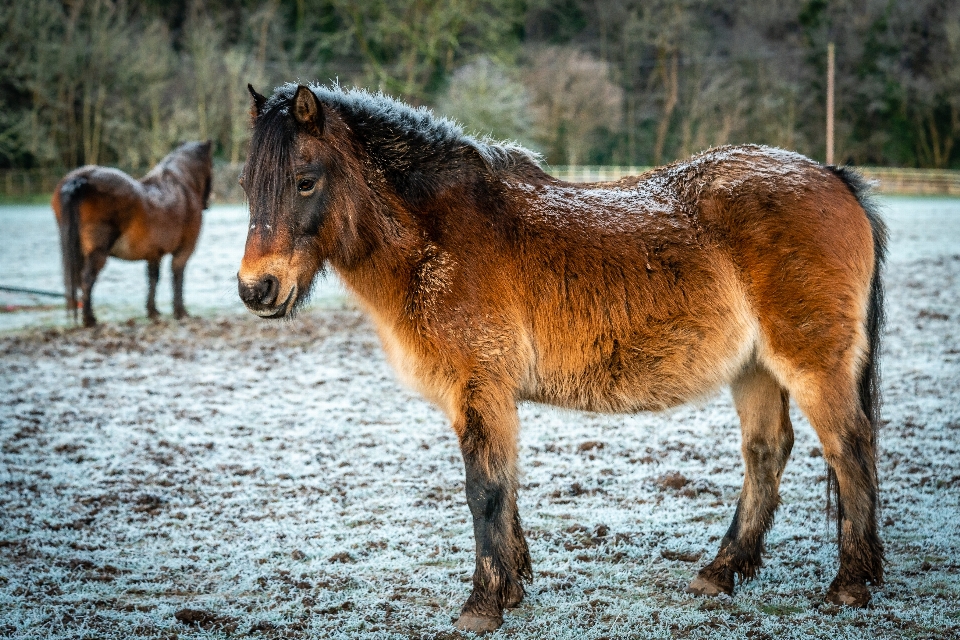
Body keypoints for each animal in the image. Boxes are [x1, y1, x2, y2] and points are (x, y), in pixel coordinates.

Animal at [52, 142, 214, 328]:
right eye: (211, 164)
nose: (208, 202)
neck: (180, 186)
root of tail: (81, 179)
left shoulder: (153, 253)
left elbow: (153, 278)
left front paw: (153, 312)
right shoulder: (183, 250)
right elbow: (177, 277)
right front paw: (180, 312)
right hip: (97, 253)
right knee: (87, 280)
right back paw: (90, 319)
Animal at [238, 86, 884, 636]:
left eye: (304, 181)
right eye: (247, 184)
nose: (256, 289)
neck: (437, 237)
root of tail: (831, 176)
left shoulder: (479, 386)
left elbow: (484, 490)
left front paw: (482, 605)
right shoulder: (489, 396)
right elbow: (505, 484)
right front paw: (513, 588)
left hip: (811, 365)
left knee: (849, 448)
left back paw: (850, 585)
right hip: (754, 370)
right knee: (766, 454)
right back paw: (720, 573)